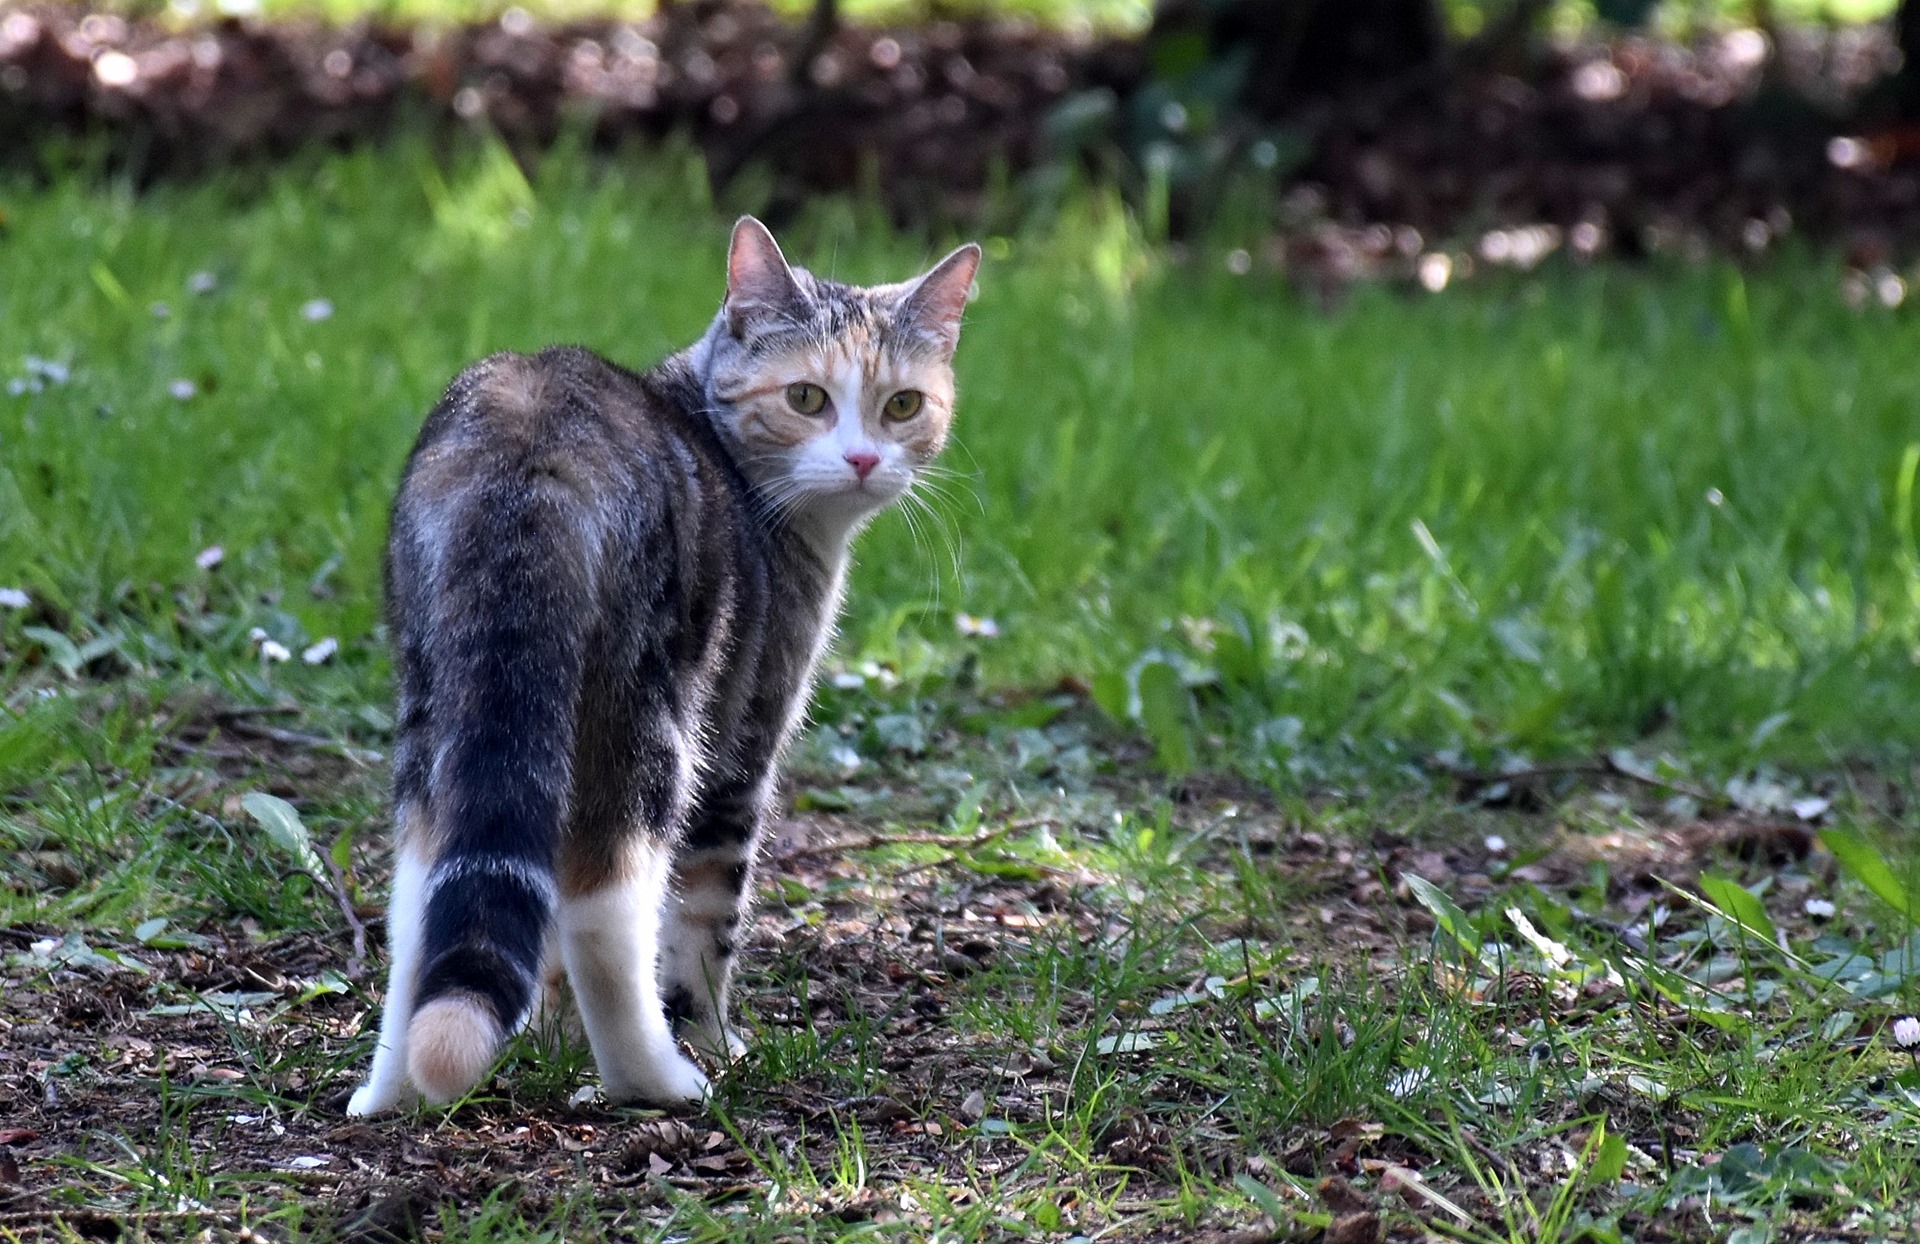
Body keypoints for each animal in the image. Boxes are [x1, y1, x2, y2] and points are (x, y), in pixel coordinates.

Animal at [343, 218, 975, 1113]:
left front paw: (550, 1036)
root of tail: (532, 442)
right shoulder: (746, 744)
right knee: (607, 907)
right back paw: (663, 1079)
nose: (862, 460)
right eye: (806, 398)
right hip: (653, 711)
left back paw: (395, 1090)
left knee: (425, 890)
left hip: (441, 691)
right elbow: (707, 921)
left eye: (903, 405)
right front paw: (709, 1034)